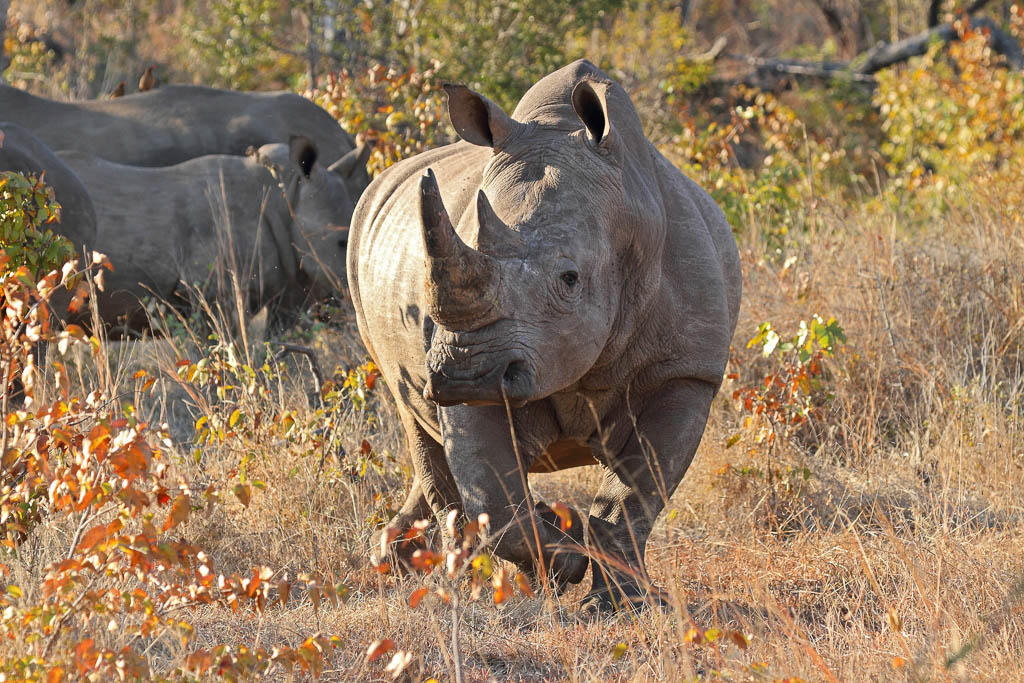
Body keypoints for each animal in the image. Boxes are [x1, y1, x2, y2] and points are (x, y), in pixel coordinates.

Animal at [348, 60, 741, 611]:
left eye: (569, 279)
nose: (465, 373)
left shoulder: (685, 371)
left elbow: (635, 496)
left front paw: (624, 604)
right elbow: (495, 505)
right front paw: (565, 561)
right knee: (419, 425)